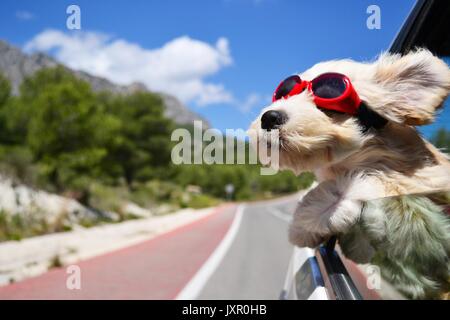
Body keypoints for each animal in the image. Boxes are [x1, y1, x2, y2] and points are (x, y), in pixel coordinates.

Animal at [250, 48, 450, 298]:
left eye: (327, 101)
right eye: (283, 94)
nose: (269, 117)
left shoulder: (421, 181)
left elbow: (375, 182)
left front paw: (309, 215)